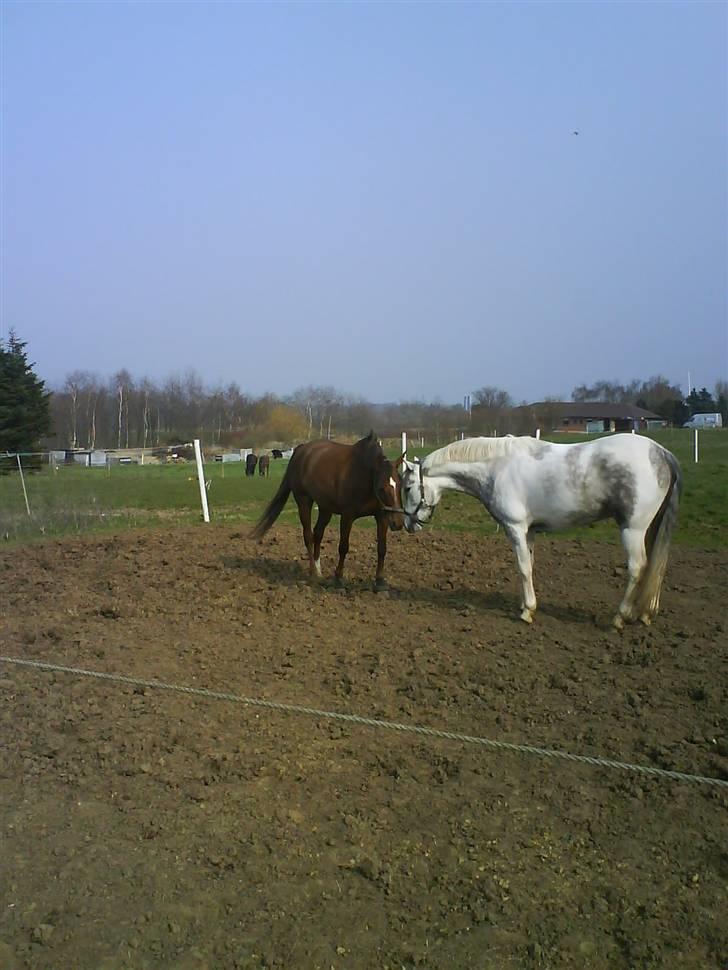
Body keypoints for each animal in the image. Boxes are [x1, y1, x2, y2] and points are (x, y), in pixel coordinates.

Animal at [252, 432, 404, 588]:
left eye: (400, 484)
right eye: (382, 488)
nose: (398, 523)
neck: (365, 477)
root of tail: (301, 450)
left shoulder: (382, 516)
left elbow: (382, 548)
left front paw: (380, 580)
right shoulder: (347, 516)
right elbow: (343, 546)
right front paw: (338, 577)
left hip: (325, 508)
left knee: (317, 534)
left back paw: (319, 571)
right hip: (304, 502)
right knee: (308, 536)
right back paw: (313, 572)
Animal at [400, 432, 680, 628]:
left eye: (407, 487)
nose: (408, 525)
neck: (495, 468)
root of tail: (662, 453)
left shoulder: (515, 528)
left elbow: (523, 568)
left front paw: (527, 612)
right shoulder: (530, 531)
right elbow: (530, 566)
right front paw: (526, 605)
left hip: (633, 529)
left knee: (638, 567)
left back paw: (621, 617)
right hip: (650, 528)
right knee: (656, 567)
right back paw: (645, 613)